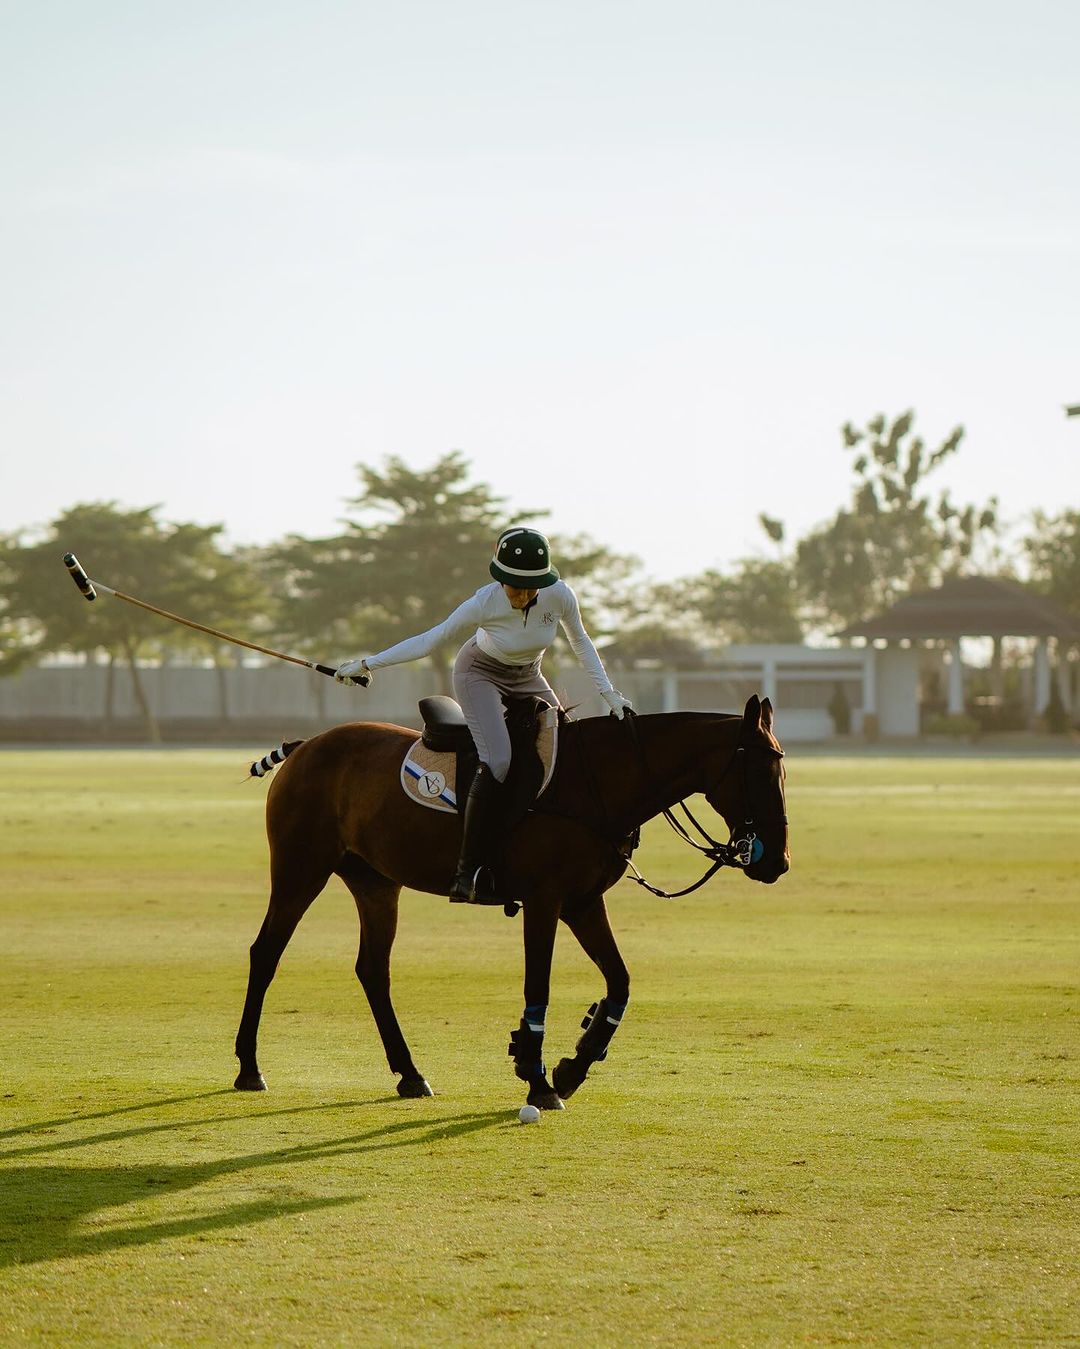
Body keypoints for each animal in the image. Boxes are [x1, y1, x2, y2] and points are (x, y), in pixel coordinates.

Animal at [233, 696, 782, 1106]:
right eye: (760, 772)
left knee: (372, 969)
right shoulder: (544, 900)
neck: (596, 783)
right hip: (300, 867)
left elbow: (620, 982)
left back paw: (410, 1073)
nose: (777, 861)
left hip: (375, 883)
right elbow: (537, 986)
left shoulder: (583, 902)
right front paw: (538, 1080)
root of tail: (306, 745)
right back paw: (249, 1067)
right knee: (266, 952)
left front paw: (572, 1065)